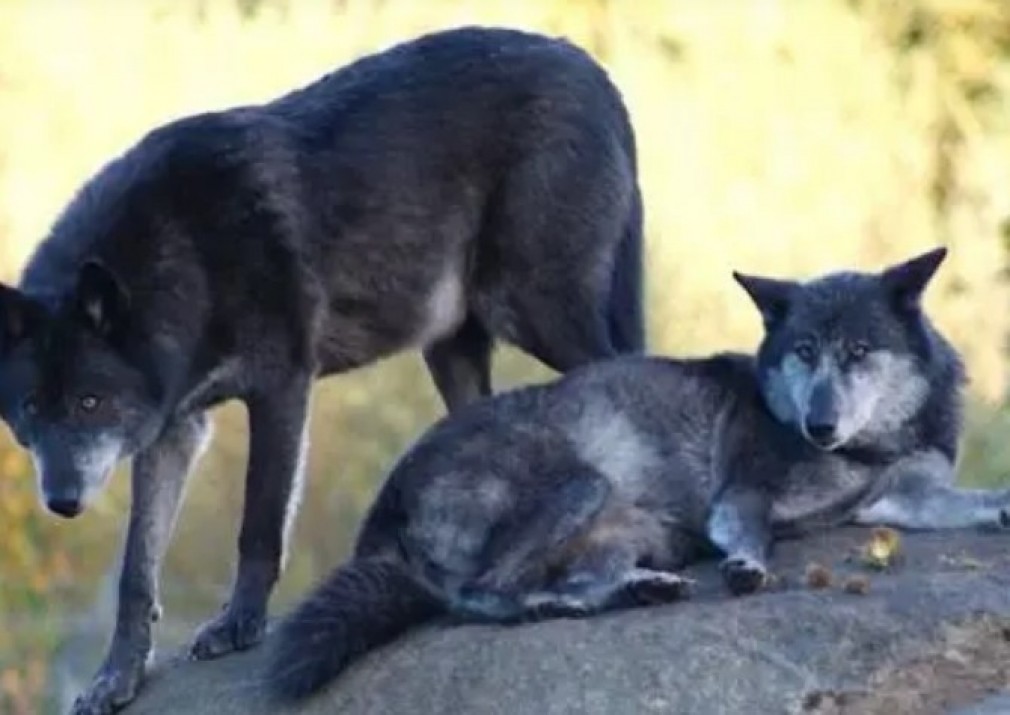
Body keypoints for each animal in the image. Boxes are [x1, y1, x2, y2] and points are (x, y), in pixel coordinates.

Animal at [0, 25, 646, 710]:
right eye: (31, 411)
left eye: (89, 403)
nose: (61, 501)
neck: (185, 249)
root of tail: (591, 69)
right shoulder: (173, 432)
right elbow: (135, 570)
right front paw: (116, 677)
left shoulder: (281, 386)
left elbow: (260, 523)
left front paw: (239, 625)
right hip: (452, 352)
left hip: (530, 306)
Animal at [262, 247, 1010, 702]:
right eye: (803, 351)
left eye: (857, 351)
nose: (818, 425)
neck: (875, 446)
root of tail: (384, 505)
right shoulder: (743, 492)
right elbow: (753, 532)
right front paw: (747, 566)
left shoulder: (903, 498)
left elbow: (971, 500)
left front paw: (1000, 507)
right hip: (581, 486)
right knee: (477, 594)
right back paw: (546, 606)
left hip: (630, 534)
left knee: (573, 583)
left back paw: (635, 590)